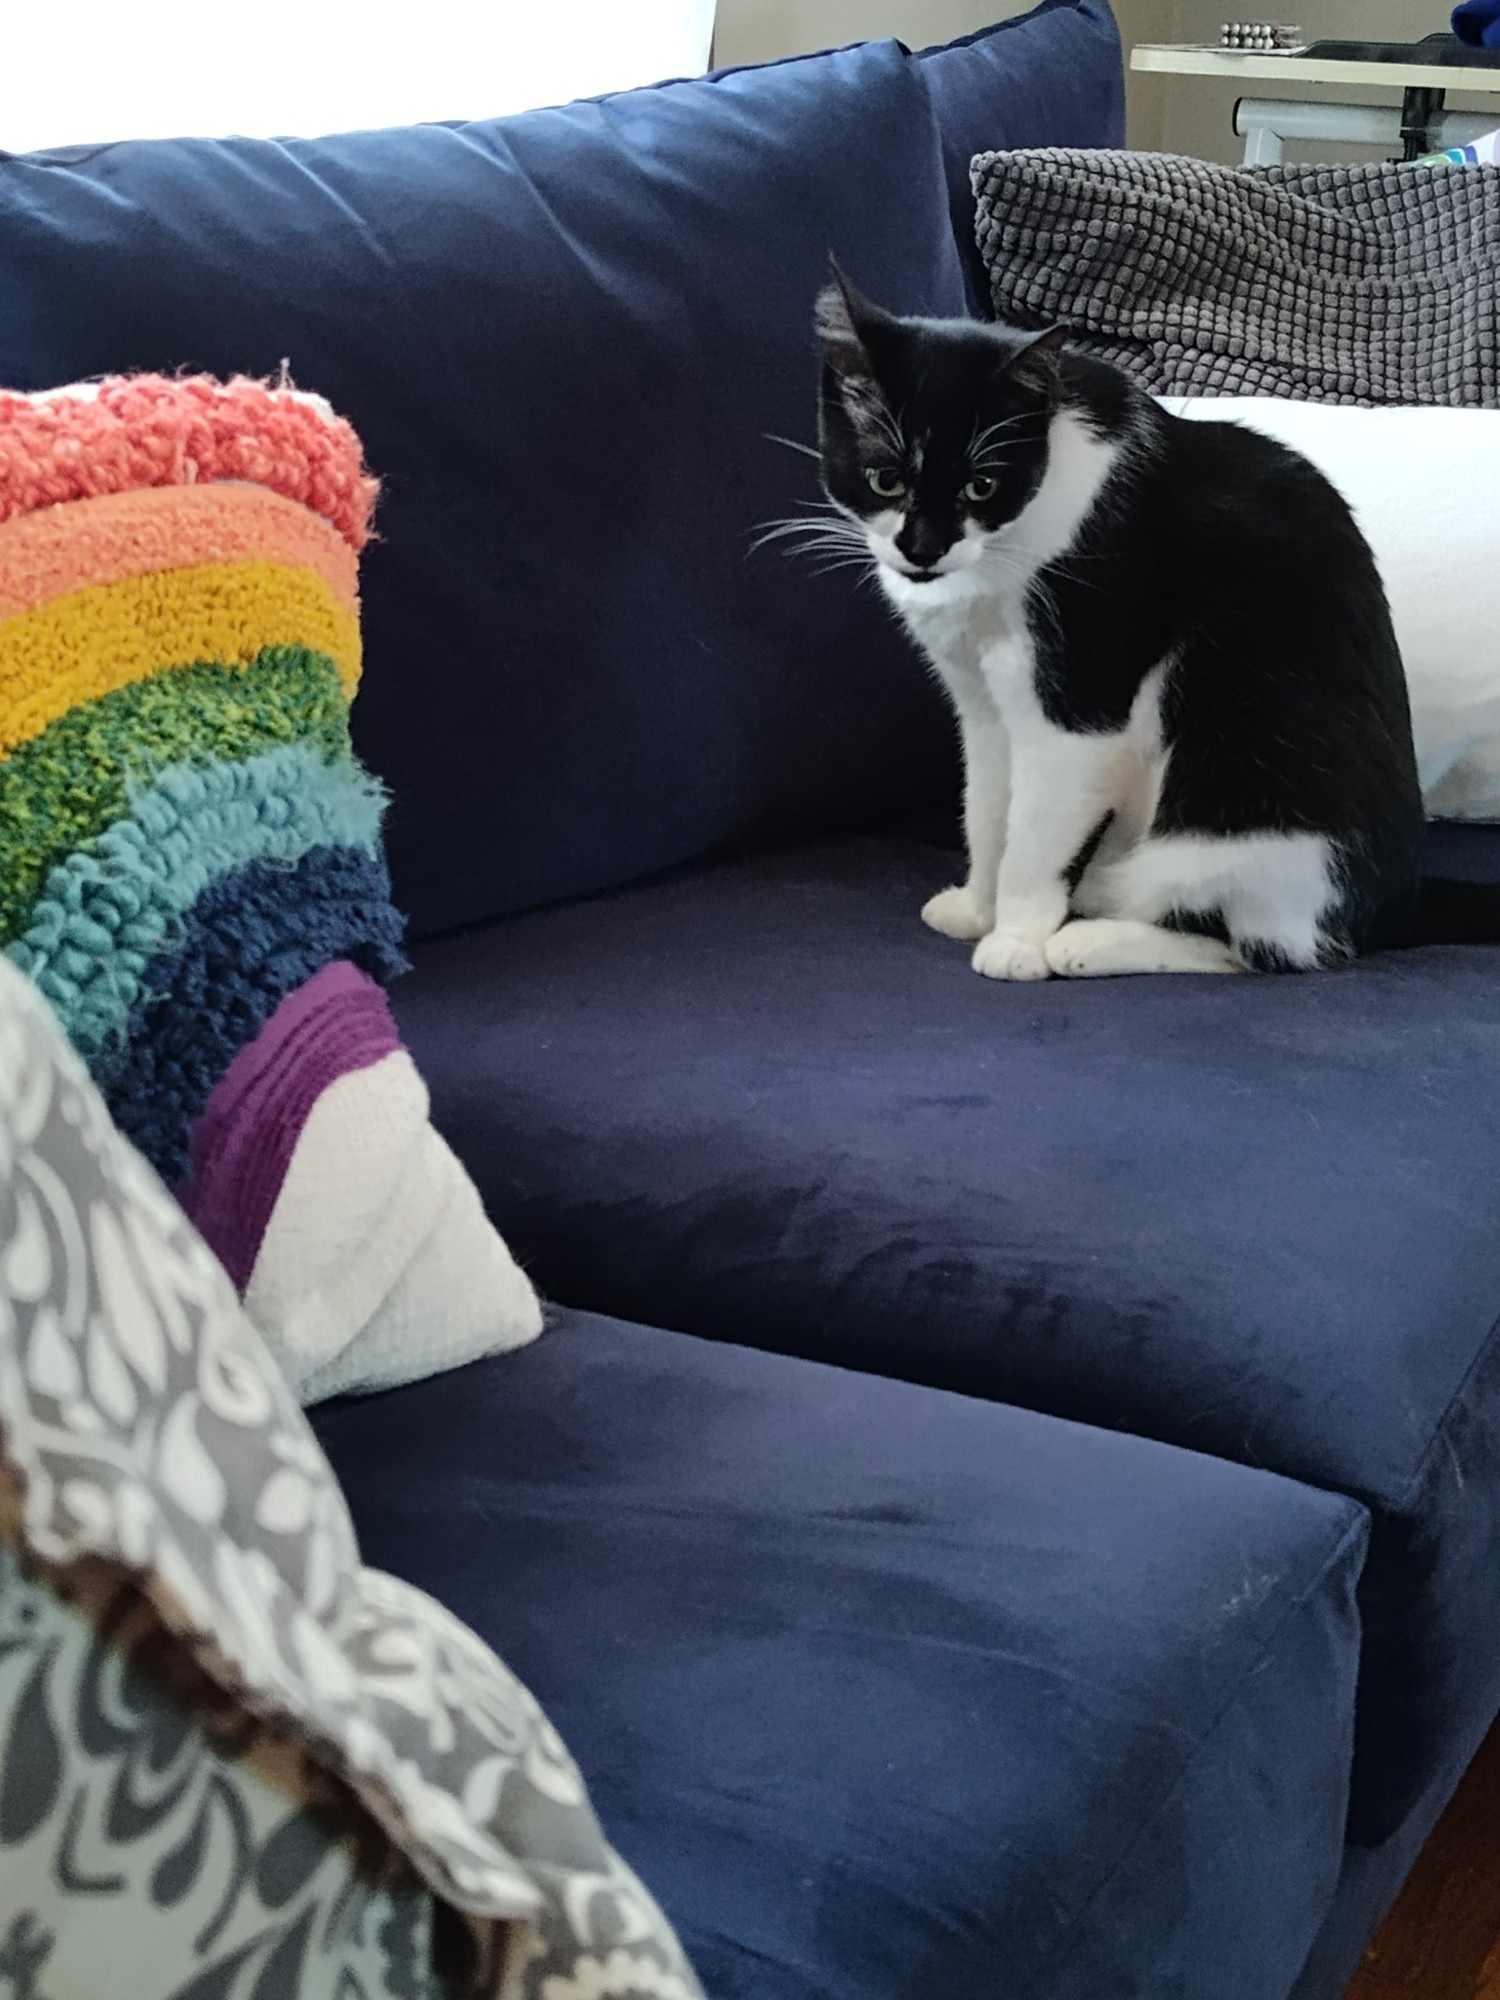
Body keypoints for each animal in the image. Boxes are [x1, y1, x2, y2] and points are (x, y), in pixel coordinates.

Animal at [812, 266, 1432, 984]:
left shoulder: (1082, 697)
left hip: (1240, 799)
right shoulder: (984, 707)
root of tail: (1393, 912)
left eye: (982, 487)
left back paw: (1089, 940)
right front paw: (977, 907)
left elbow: (1035, 831)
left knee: (1261, 946)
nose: (923, 549)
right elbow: (988, 808)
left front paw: (1017, 937)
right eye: (884, 479)